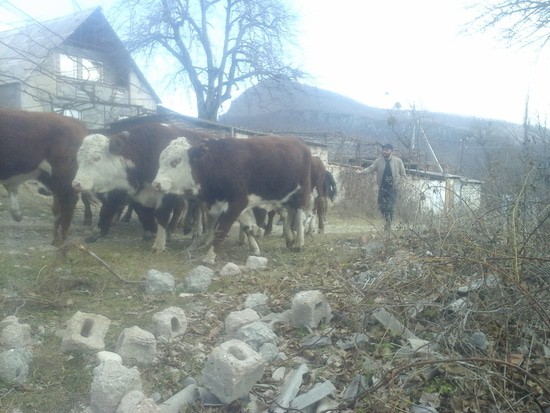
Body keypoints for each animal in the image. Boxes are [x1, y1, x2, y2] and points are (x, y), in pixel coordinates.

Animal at [71, 122, 208, 251]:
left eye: (96, 158)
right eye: (78, 159)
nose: (76, 183)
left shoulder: (165, 194)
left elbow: (162, 215)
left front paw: (158, 244)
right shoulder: (134, 195)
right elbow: (137, 212)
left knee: (195, 211)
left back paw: (195, 233)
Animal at [152, 135, 313, 262]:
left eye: (176, 160)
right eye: (160, 160)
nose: (156, 184)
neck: (217, 163)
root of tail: (298, 141)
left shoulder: (237, 202)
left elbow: (221, 230)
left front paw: (210, 256)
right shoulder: (236, 205)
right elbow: (247, 226)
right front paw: (255, 246)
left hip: (301, 192)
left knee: (300, 216)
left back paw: (299, 243)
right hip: (286, 197)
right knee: (289, 214)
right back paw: (290, 238)